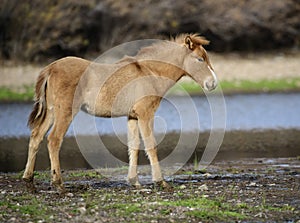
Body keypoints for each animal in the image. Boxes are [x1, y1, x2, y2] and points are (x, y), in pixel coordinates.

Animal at [21, 34, 218, 193]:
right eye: (200, 59)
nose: (213, 83)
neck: (150, 72)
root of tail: (51, 68)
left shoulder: (132, 116)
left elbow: (134, 146)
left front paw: (134, 181)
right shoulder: (146, 114)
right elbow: (151, 145)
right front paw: (161, 182)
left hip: (51, 112)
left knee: (36, 136)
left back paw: (28, 180)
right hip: (65, 112)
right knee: (54, 140)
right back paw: (58, 184)